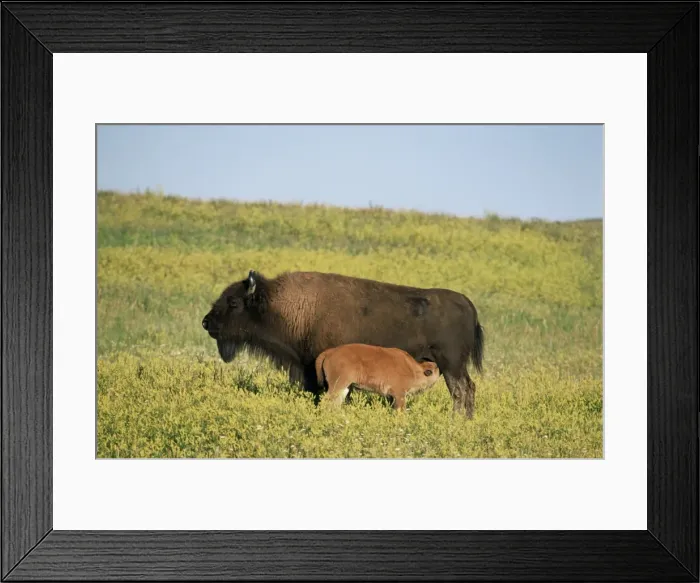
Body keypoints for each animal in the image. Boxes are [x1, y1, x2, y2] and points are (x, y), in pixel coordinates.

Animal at [202, 270, 484, 418]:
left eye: (234, 302)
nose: (206, 322)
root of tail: (468, 305)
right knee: (465, 389)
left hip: (451, 365)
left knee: (462, 390)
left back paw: (459, 420)